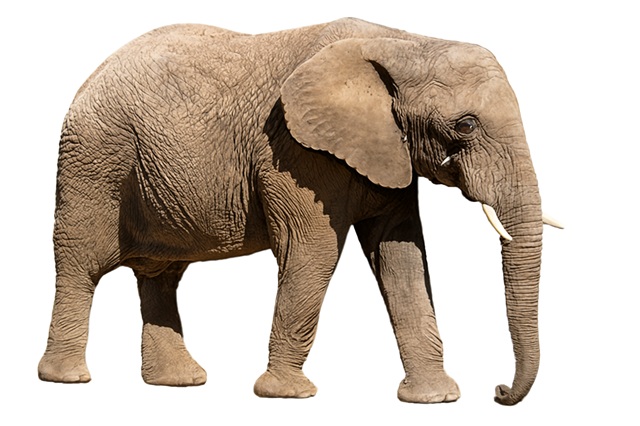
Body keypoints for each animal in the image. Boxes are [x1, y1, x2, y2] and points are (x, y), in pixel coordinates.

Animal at [38, 18, 560, 405]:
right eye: (465, 125)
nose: (498, 391)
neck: (403, 43)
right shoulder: (291, 148)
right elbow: (314, 251)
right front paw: (287, 395)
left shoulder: (388, 151)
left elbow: (402, 255)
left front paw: (434, 399)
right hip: (93, 159)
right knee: (82, 263)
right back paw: (67, 380)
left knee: (162, 276)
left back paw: (179, 383)